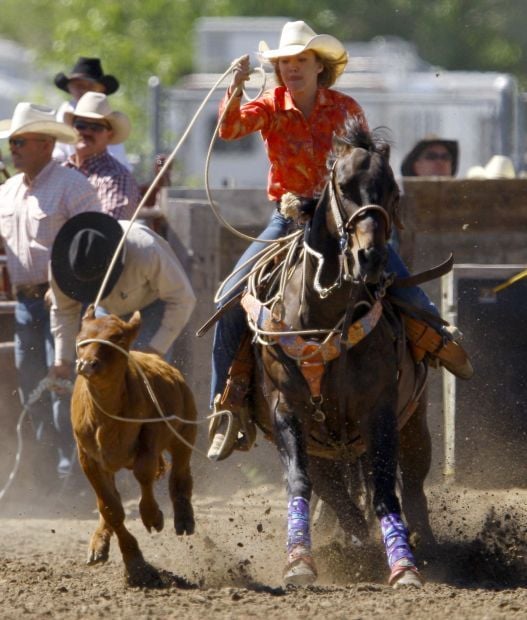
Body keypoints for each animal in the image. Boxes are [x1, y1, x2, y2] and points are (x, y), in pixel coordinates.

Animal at [72, 308, 198, 584]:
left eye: (116, 338)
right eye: (81, 339)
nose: (86, 364)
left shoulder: (151, 437)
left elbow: (144, 474)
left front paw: (153, 516)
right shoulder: (88, 458)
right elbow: (111, 509)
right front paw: (135, 564)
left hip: (185, 431)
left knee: (181, 473)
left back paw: (184, 517)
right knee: (111, 500)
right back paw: (98, 543)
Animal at [243, 118, 434, 588]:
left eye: (393, 190)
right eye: (344, 186)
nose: (371, 257)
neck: (323, 317)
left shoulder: (379, 408)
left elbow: (384, 488)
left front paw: (403, 564)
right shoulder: (286, 408)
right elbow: (301, 483)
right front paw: (299, 561)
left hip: (414, 421)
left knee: (412, 483)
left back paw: (423, 542)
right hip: (325, 444)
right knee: (335, 491)